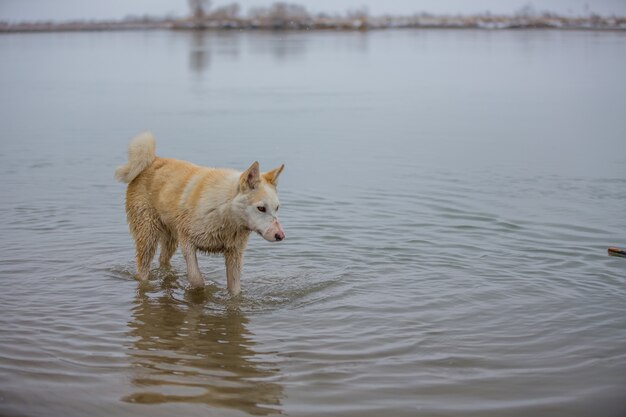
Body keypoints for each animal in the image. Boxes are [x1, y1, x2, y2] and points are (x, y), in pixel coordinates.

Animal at [114, 132, 286, 294]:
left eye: (277, 208)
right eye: (261, 208)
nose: (280, 236)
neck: (224, 211)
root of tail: (152, 160)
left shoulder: (234, 254)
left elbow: (235, 290)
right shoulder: (187, 242)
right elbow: (197, 280)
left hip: (171, 237)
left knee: (163, 259)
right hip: (148, 234)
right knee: (142, 268)